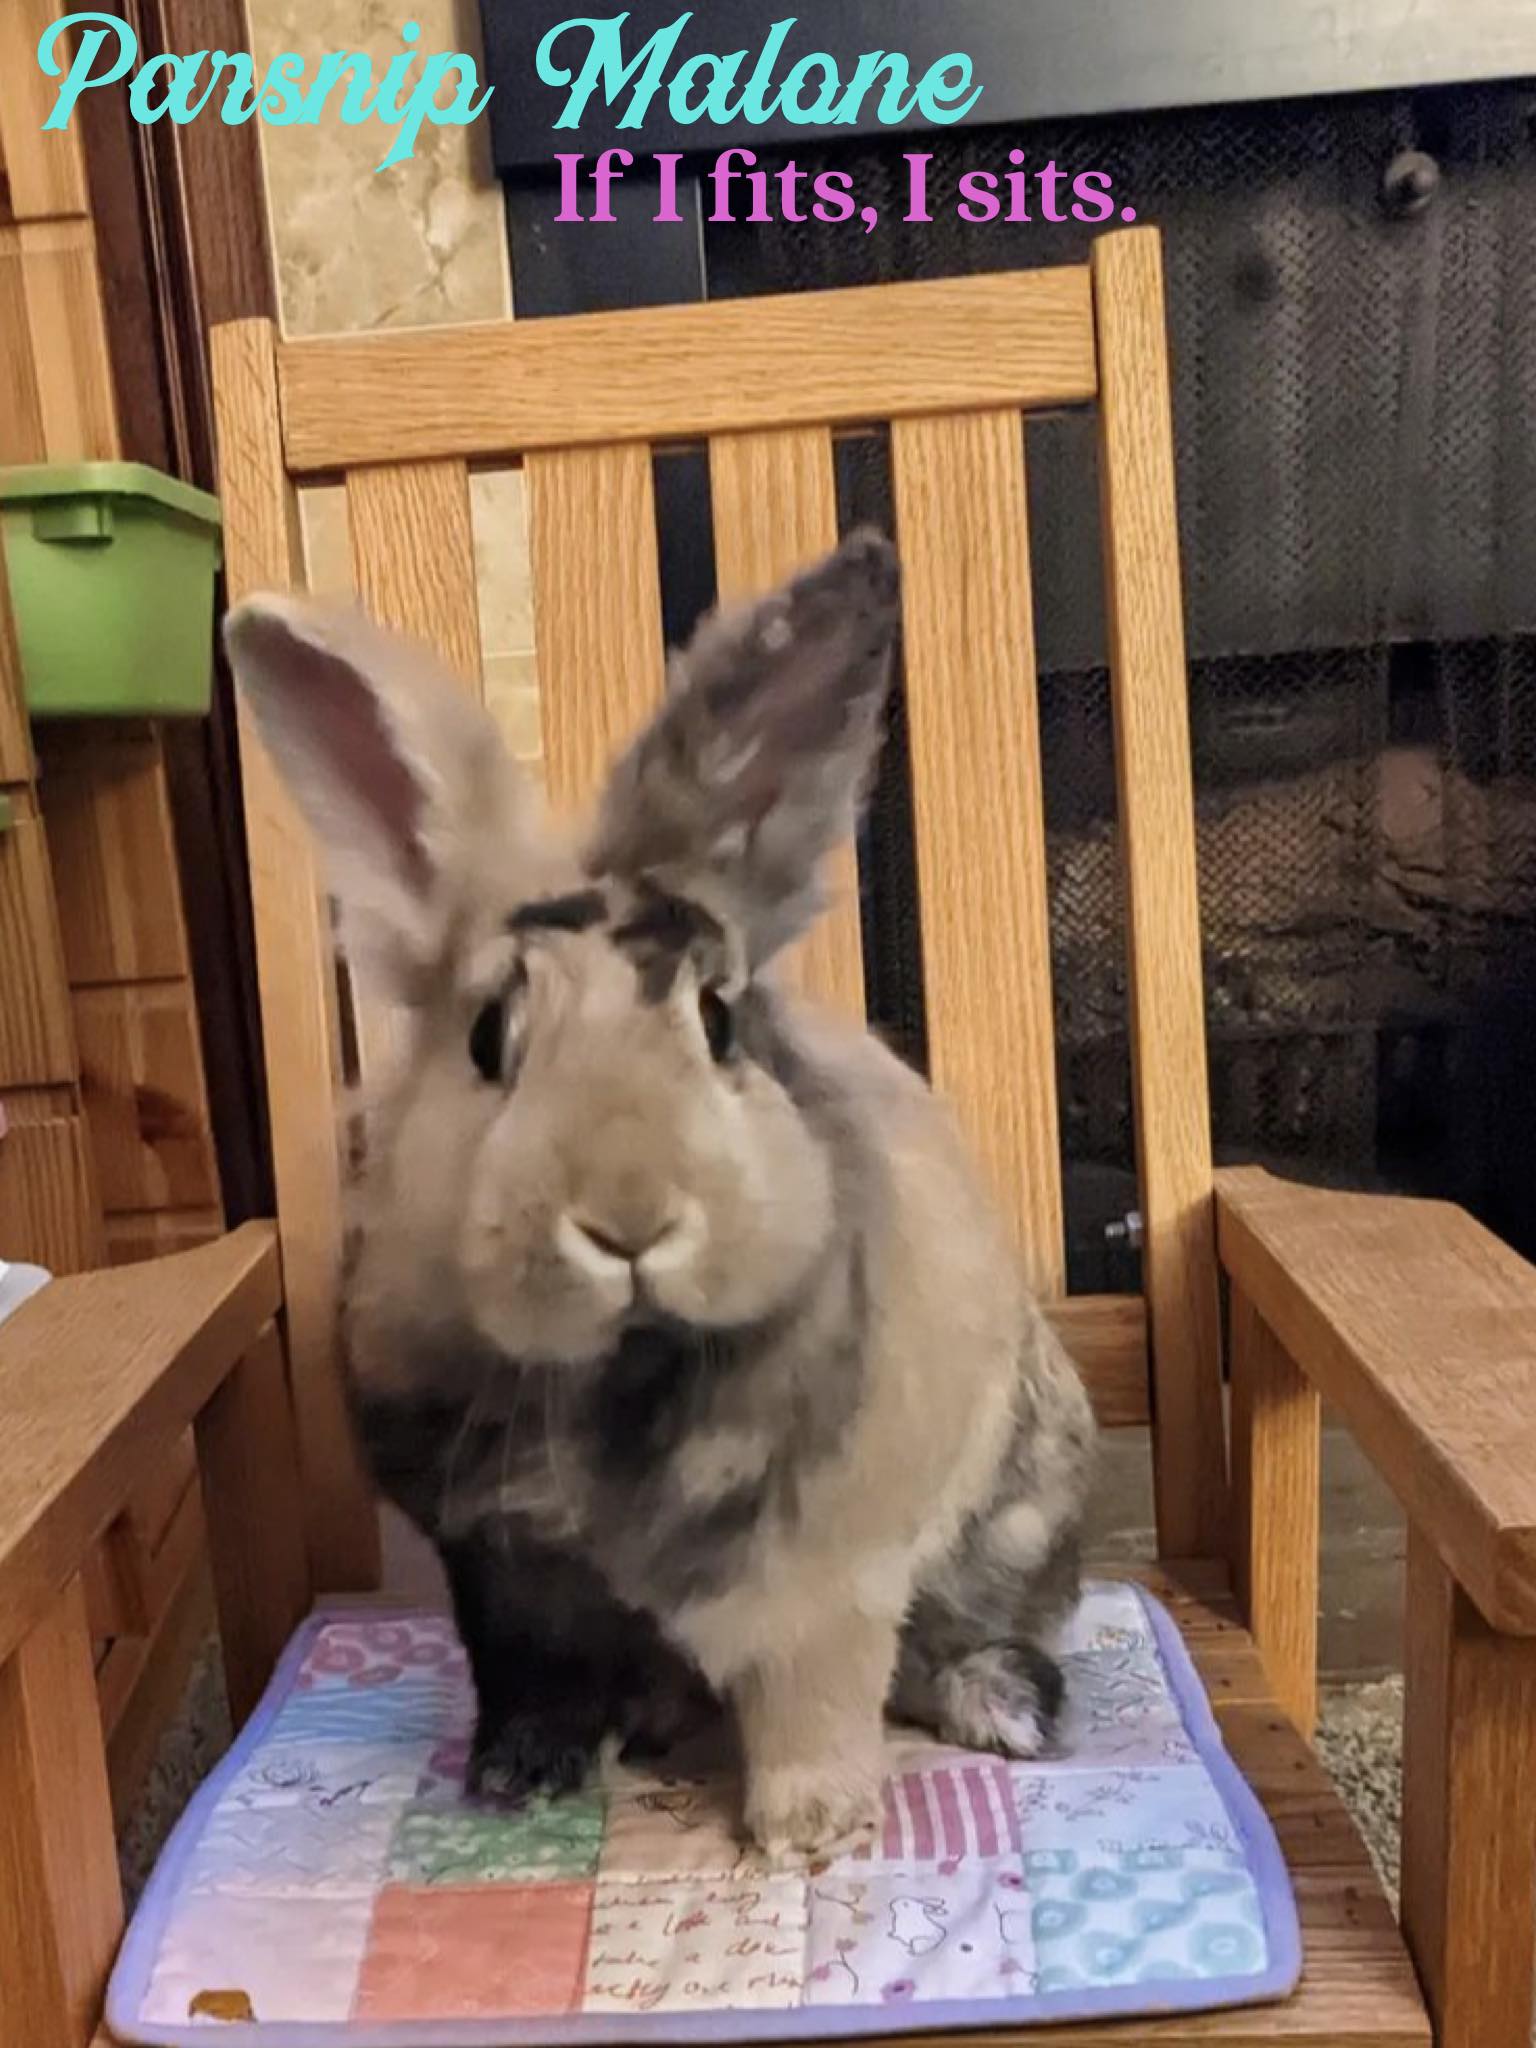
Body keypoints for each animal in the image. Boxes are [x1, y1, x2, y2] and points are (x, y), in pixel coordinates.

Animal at [226, 530, 1097, 1861]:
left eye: (719, 1018)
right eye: (488, 1038)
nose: (629, 1219)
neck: (613, 1381)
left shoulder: (823, 1576)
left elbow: (817, 1693)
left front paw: (809, 1831)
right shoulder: (503, 1572)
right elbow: (534, 1677)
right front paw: (519, 1777)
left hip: (1019, 1511)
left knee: (980, 1633)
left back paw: (1000, 1704)